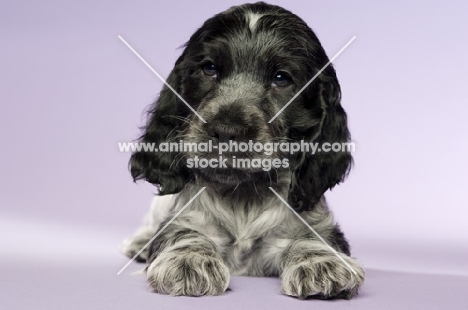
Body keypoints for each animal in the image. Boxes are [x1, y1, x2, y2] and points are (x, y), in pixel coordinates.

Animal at [121, 1, 366, 300]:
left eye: (281, 78)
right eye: (209, 68)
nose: (227, 130)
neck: (243, 194)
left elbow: (314, 235)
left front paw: (321, 263)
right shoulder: (186, 215)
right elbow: (182, 231)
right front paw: (188, 261)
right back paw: (140, 242)